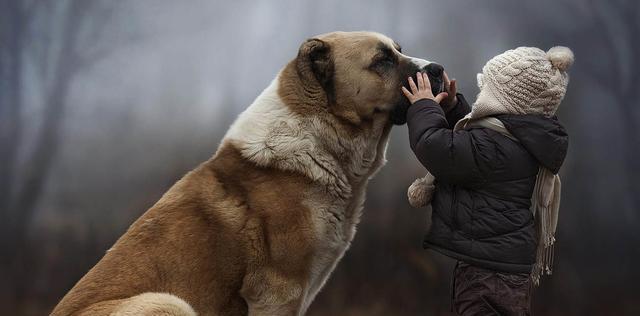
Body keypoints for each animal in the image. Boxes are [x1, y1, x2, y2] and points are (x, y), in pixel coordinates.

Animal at [52, 32, 442, 316]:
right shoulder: (278, 292)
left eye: (398, 50)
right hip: (165, 302)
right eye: (382, 60)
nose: (438, 69)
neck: (317, 136)